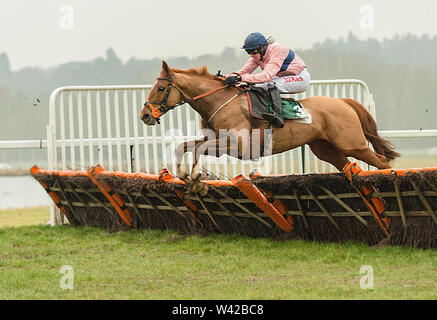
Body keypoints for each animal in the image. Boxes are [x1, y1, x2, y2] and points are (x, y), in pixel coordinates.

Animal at [141, 61, 398, 179]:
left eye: (161, 88)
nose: (145, 115)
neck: (219, 101)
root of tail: (344, 102)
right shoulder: (216, 141)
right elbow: (184, 146)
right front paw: (184, 174)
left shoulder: (239, 146)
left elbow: (196, 149)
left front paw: (193, 175)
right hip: (325, 149)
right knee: (349, 166)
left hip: (352, 144)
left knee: (381, 162)